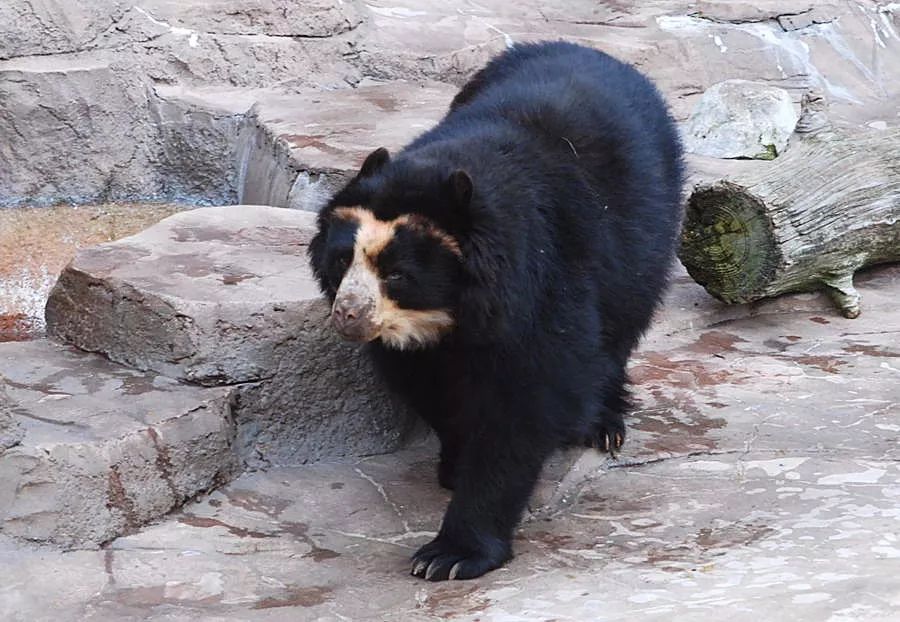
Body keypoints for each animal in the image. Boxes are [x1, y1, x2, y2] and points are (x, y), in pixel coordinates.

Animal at [308, 40, 684, 581]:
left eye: (397, 273)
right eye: (342, 260)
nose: (349, 316)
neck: (454, 310)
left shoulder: (541, 277)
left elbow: (527, 399)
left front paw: (448, 554)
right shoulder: (417, 343)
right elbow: (428, 384)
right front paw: (452, 463)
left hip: (645, 230)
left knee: (622, 321)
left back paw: (603, 424)